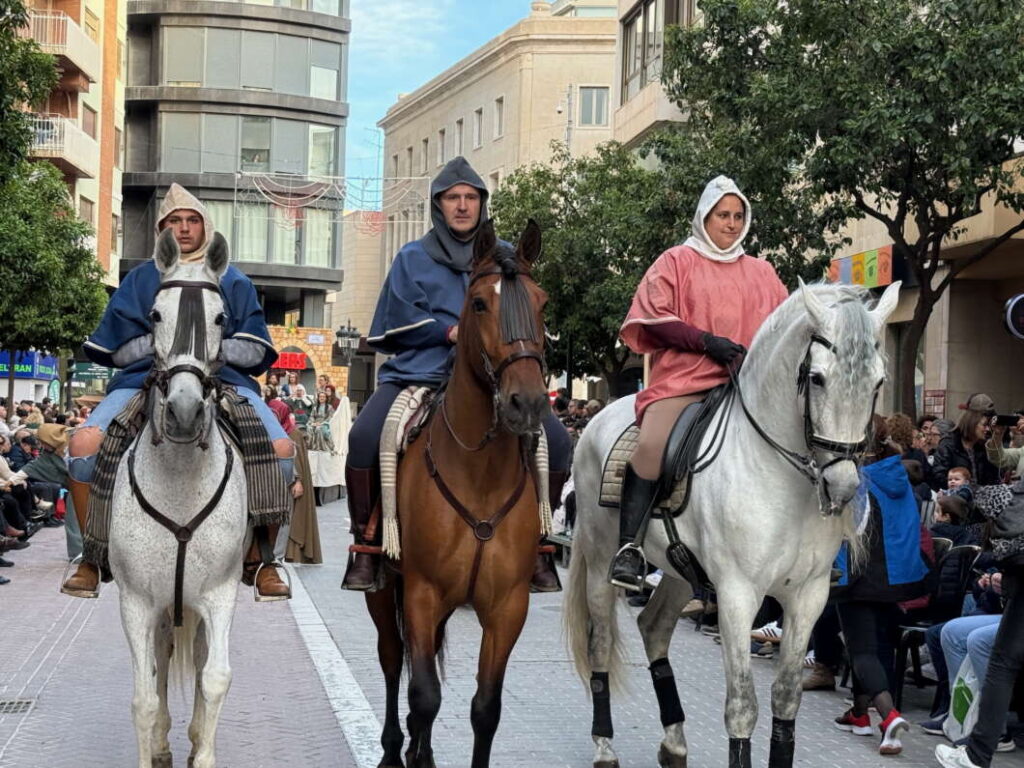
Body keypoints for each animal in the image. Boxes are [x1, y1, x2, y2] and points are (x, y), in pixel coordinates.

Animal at [109, 231, 248, 768]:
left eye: (221, 318)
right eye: (154, 315)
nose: (185, 412)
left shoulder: (221, 594)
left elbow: (216, 677)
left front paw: (200, 751)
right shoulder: (137, 602)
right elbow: (144, 697)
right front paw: (155, 746)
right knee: (163, 661)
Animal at [366, 218, 552, 768]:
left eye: (542, 303)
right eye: (480, 304)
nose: (527, 402)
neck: (479, 470)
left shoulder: (508, 605)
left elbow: (484, 708)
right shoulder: (422, 591)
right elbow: (424, 694)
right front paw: (411, 752)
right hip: (384, 589)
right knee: (392, 660)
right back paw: (393, 749)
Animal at [565, 282, 901, 768]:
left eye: (878, 382)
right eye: (817, 378)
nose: (841, 487)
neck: (778, 475)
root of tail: (600, 417)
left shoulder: (808, 595)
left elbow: (786, 699)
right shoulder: (738, 594)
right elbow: (742, 706)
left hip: (679, 571)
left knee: (654, 628)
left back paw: (674, 741)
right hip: (598, 560)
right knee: (601, 644)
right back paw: (605, 745)